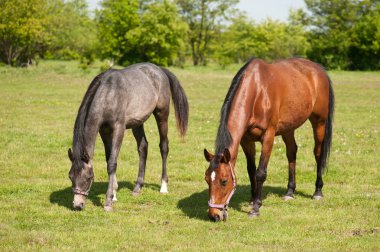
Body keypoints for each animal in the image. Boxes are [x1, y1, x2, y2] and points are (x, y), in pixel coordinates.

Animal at [67, 63, 189, 211]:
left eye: (88, 177)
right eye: (70, 177)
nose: (77, 205)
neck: (108, 93)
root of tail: (159, 70)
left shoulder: (119, 129)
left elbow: (112, 163)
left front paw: (108, 202)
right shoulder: (104, 131)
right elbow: (109, 159)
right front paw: (114, 194)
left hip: (162, 115)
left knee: (164, 146)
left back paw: (163, 187)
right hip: (138, 122)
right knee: (143, 147)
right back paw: (137, 188)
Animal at [205, 58, 332, 221]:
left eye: (224, 181)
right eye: (207, 179)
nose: (214, 215)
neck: (257, 92)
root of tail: (319, 69)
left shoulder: (268, 137)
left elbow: (260, 172)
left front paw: (256, 208)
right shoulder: (246, 140)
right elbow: (251, 170)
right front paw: (253, 199)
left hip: (319, 122)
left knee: (318, 153)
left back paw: (317, 191)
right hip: (288, 127)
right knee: (292, 153)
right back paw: (289, 192)